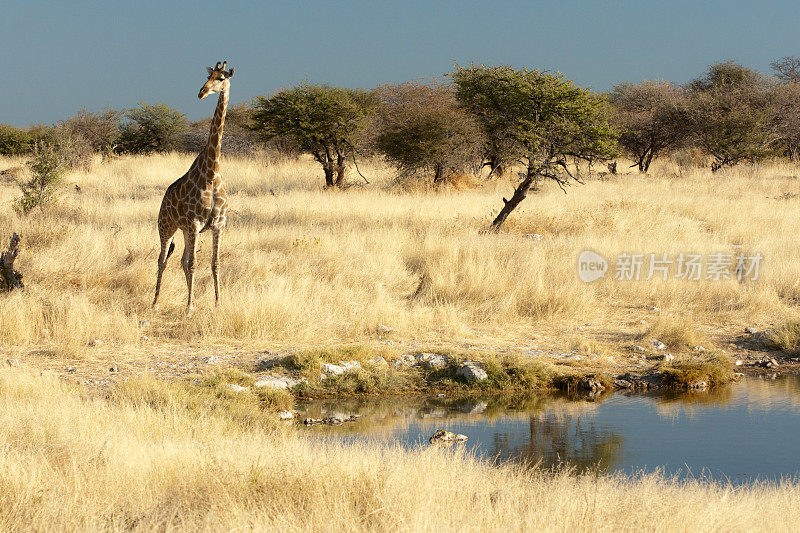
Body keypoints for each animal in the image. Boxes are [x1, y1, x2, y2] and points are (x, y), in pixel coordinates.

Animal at [152, 61, 233, 312]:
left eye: (221, 78)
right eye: (208, 76)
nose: (201, 92)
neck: (212, 173)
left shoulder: (218, 225)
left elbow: (215, 263)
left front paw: (218, 303)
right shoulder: (195, 222)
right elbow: (194, 264)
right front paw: (189, 309)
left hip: (185, 230)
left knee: (180, 260)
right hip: (166, 226)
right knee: (162, 260)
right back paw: (155, 302)